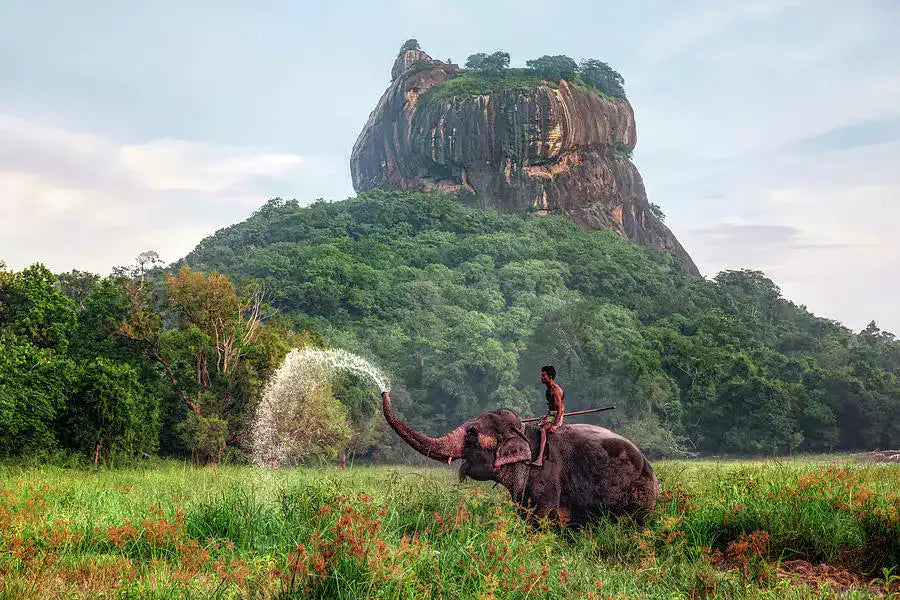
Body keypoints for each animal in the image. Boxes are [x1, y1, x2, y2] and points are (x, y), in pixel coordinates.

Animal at [382, 390, 660, 524]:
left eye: (472, 434)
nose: (384, 391)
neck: (526, 433)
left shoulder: (545, 476)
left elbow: (541, 519)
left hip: (639, 498)